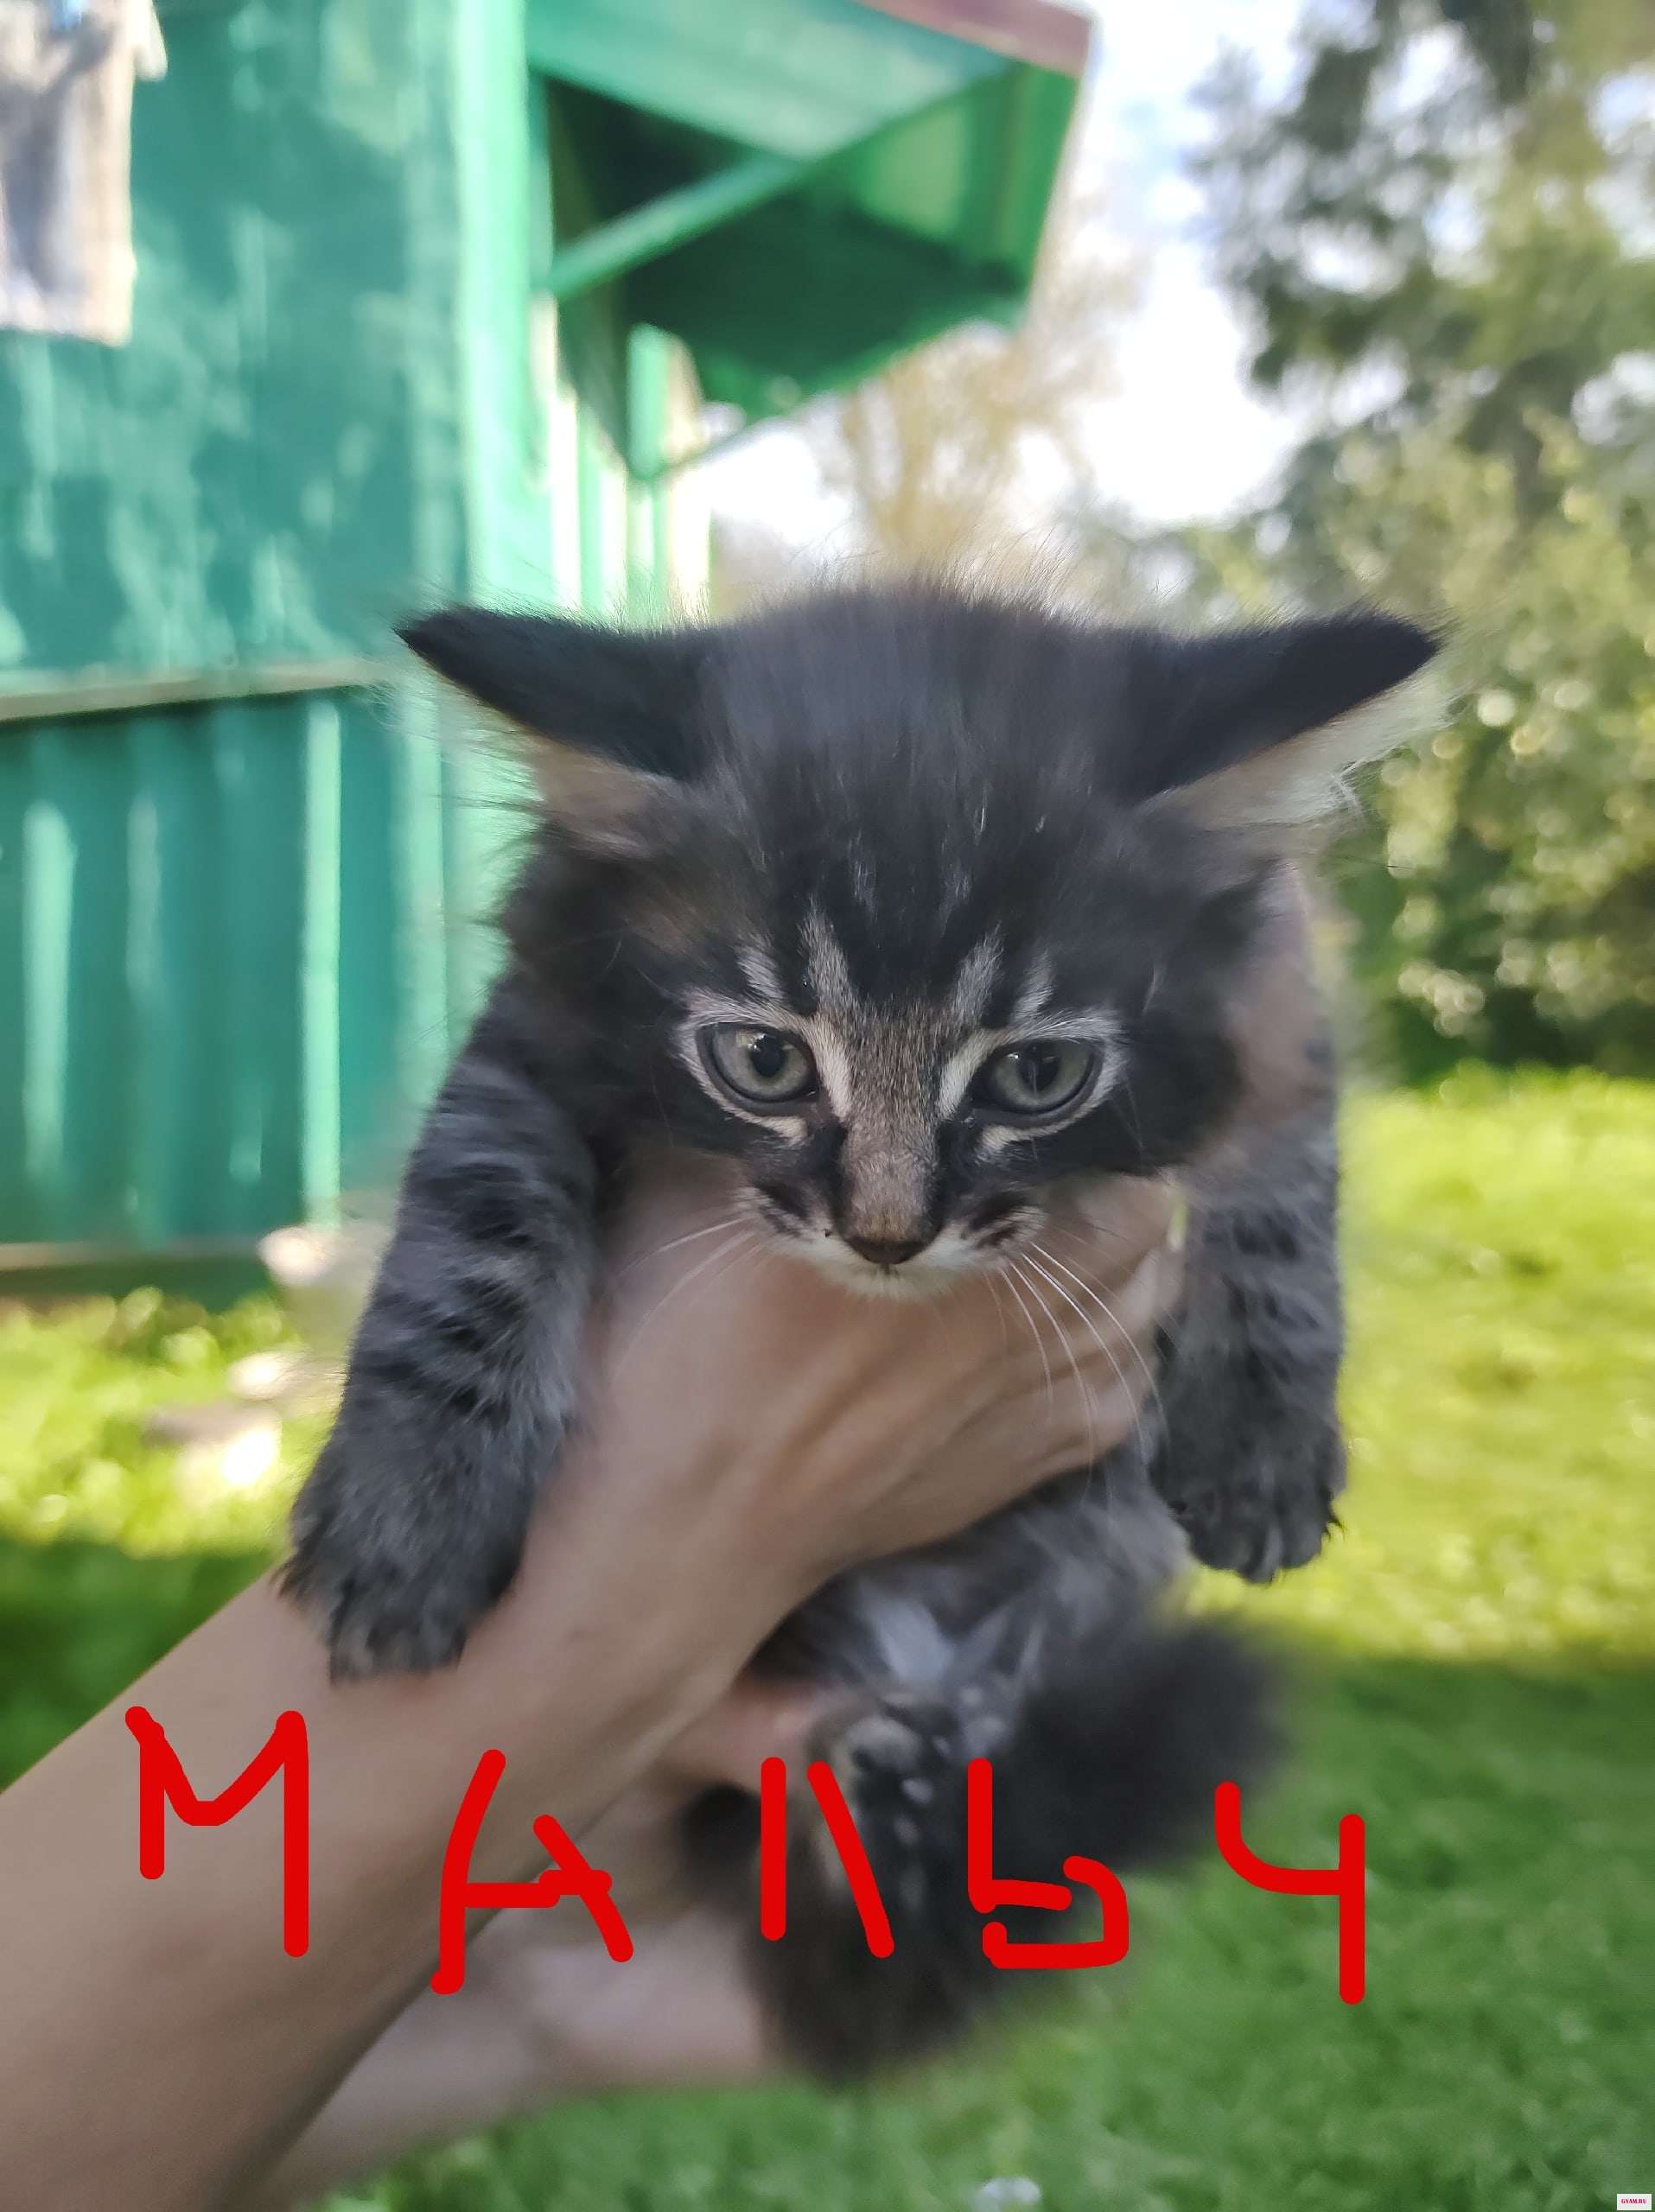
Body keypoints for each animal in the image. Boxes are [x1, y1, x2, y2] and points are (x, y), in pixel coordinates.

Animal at [285, 580, 1437, 2072]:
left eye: (1035, 1074)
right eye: (764, 1060)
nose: (884, 1233)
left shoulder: (1271, 996)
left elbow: (1284, 1188)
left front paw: (1260, 1434)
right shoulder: (535, 1026)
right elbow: (470, 1216)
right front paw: (410, 1509)